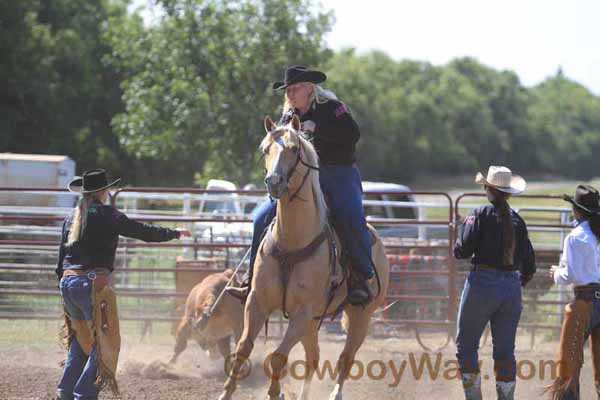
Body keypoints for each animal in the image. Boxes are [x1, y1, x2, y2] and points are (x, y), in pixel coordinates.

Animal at [218, 114, 392, 398]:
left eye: (293, 149)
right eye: (264, 149)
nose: (274, 182)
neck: (292, 242)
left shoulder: (302, 312)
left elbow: (278, 356)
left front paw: (274, 392)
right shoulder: (257, 302)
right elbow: (243, 348)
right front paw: (226, 392)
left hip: (360, 316)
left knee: (346, 358)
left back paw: (336, 393)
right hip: (313, 322)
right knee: (314, 357)